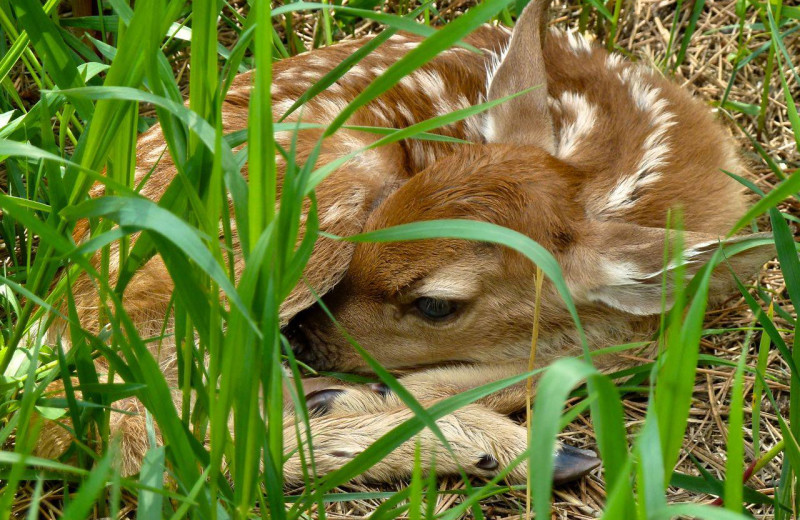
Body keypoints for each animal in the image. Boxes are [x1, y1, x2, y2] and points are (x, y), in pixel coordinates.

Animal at [37, 1, 776, 488]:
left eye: (436, 305)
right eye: (383, 219)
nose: (309, 341)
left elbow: (618, 346)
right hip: (317, 197)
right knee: (140, 419)